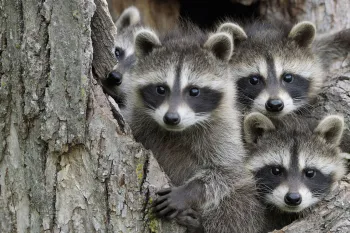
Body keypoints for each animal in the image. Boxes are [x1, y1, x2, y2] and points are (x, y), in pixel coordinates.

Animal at [124, 24, 264, 233]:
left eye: (194, 91)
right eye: (161, 89)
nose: (171, 118)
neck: (177, 131)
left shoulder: (224, 130)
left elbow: (228, 171)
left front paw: (187, 192)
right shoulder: (137, 119)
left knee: (238, 205)